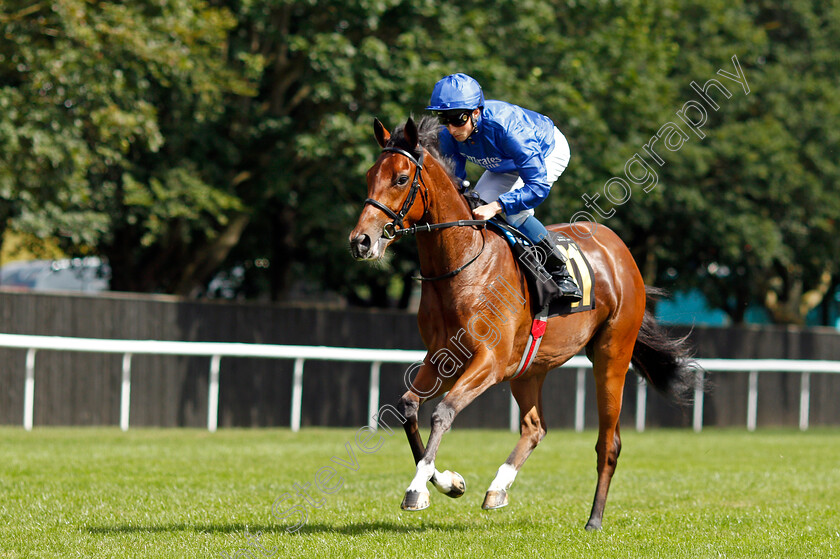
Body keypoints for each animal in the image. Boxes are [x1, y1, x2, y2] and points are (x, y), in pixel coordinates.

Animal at [348, 117, 696, 528]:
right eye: (370, 175)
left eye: (401, 178)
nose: (361, 241)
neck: (464, 265)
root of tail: (620, 251)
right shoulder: (442, 356)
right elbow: (407, 407)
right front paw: (448, 481)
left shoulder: (490, 361)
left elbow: (443, 411)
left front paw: (418, 488)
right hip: (529, 368)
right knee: (535, 427)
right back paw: (498, 488)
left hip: (612, 355)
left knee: (608, 442)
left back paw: (594, 519)